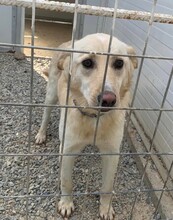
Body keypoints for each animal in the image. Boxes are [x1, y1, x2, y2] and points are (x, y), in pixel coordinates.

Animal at [35, 33, 138, 219]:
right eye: (87, 63)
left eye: (119, 63)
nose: (108, 99)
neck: (94, 120)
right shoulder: (67, 151)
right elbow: (66, 182)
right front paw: (66, 204)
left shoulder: (111, 153)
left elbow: (107, 186)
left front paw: (105, 208)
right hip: (51, 94)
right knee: (45, 115)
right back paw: (41, 134)